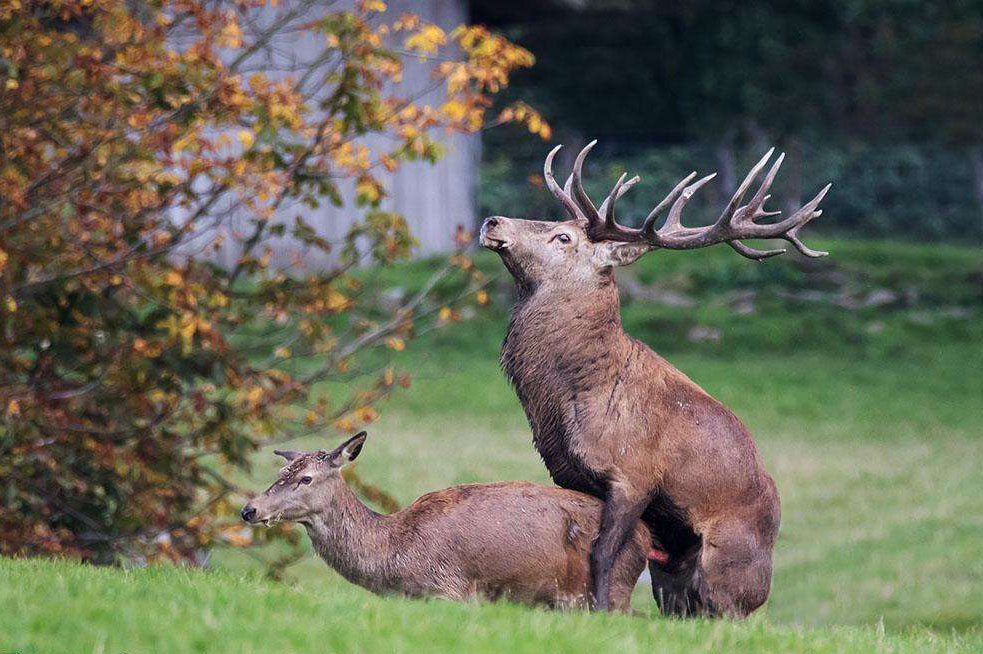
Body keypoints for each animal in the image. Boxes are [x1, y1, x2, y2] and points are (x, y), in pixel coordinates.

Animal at [241, 434, 648, 612]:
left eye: (306, 478)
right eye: (280, 472)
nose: (249, 510)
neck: (394, 554)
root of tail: (646, 538)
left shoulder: (451, 589)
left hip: (609, 590)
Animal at [480, 141, 836, 616]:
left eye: (563, 237)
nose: (492, 221)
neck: (572, 399)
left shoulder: (635, 474)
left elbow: (603, 552)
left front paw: (602, 610)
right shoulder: (570, 474)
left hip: (731, 567)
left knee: (729, 611)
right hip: (673, 570)